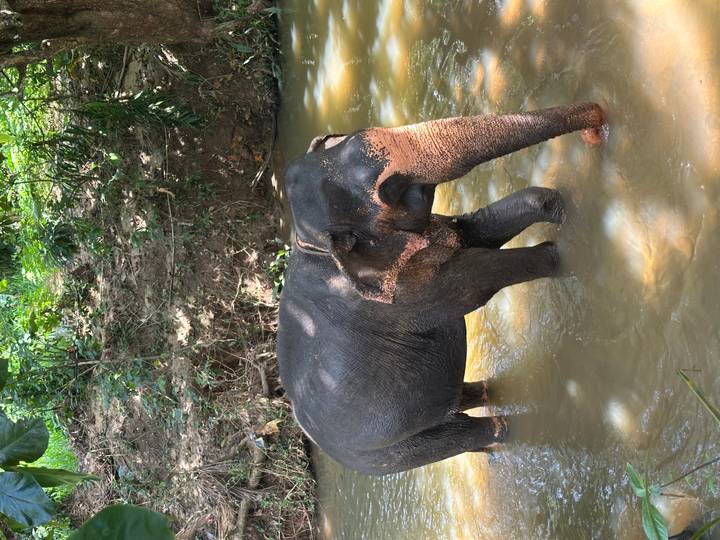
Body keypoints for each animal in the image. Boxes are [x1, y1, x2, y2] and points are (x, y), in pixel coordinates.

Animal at [277, 103, 605, 475]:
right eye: (389, 190)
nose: (596, 126)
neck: (311, 243)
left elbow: (475, 230)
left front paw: (562, 207)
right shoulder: (401, 297)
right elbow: (477, 279)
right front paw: (566, 253)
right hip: (388, 452)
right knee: (463, 436)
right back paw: (511, 429)